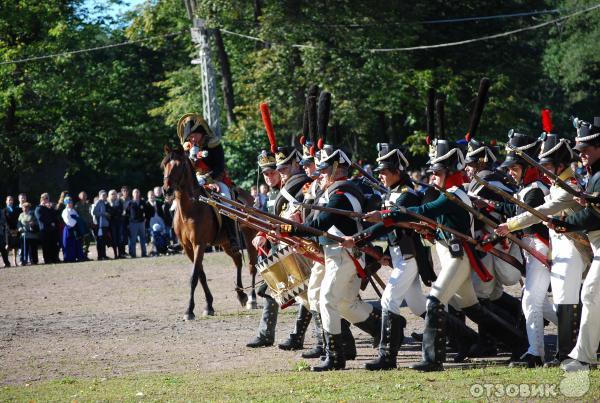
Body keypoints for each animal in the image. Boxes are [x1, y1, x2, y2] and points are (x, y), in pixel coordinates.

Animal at [162, 145, 258, 318]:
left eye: (179, 165)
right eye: (164, 165)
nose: (166, 190)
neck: (190, 208)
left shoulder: (199, 244)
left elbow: (194, 277)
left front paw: (189, 310)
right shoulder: (188, 248)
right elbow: (201, 275)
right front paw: (209, 305)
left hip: (250, 237)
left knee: (252, 266)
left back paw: (252, 299)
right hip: (226, 243)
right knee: (238, 260)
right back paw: (241, 294)